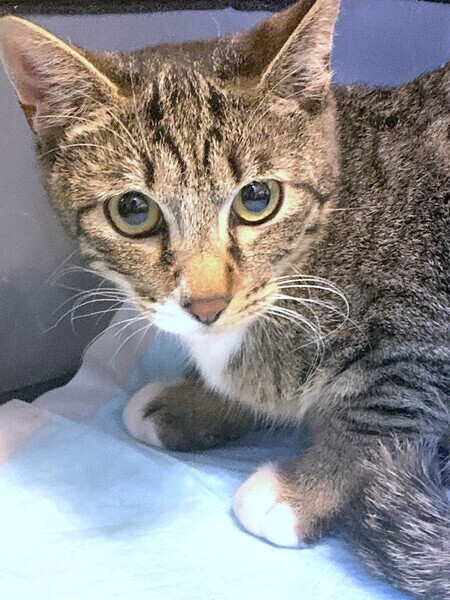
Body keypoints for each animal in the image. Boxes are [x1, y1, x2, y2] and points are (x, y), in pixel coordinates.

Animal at [0, 0, 449, 597]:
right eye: (133, 211)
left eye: (257, 198)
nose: (208, 304)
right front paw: (198, 402)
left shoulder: (422, 317)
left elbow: (386, 406)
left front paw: (305, 489)